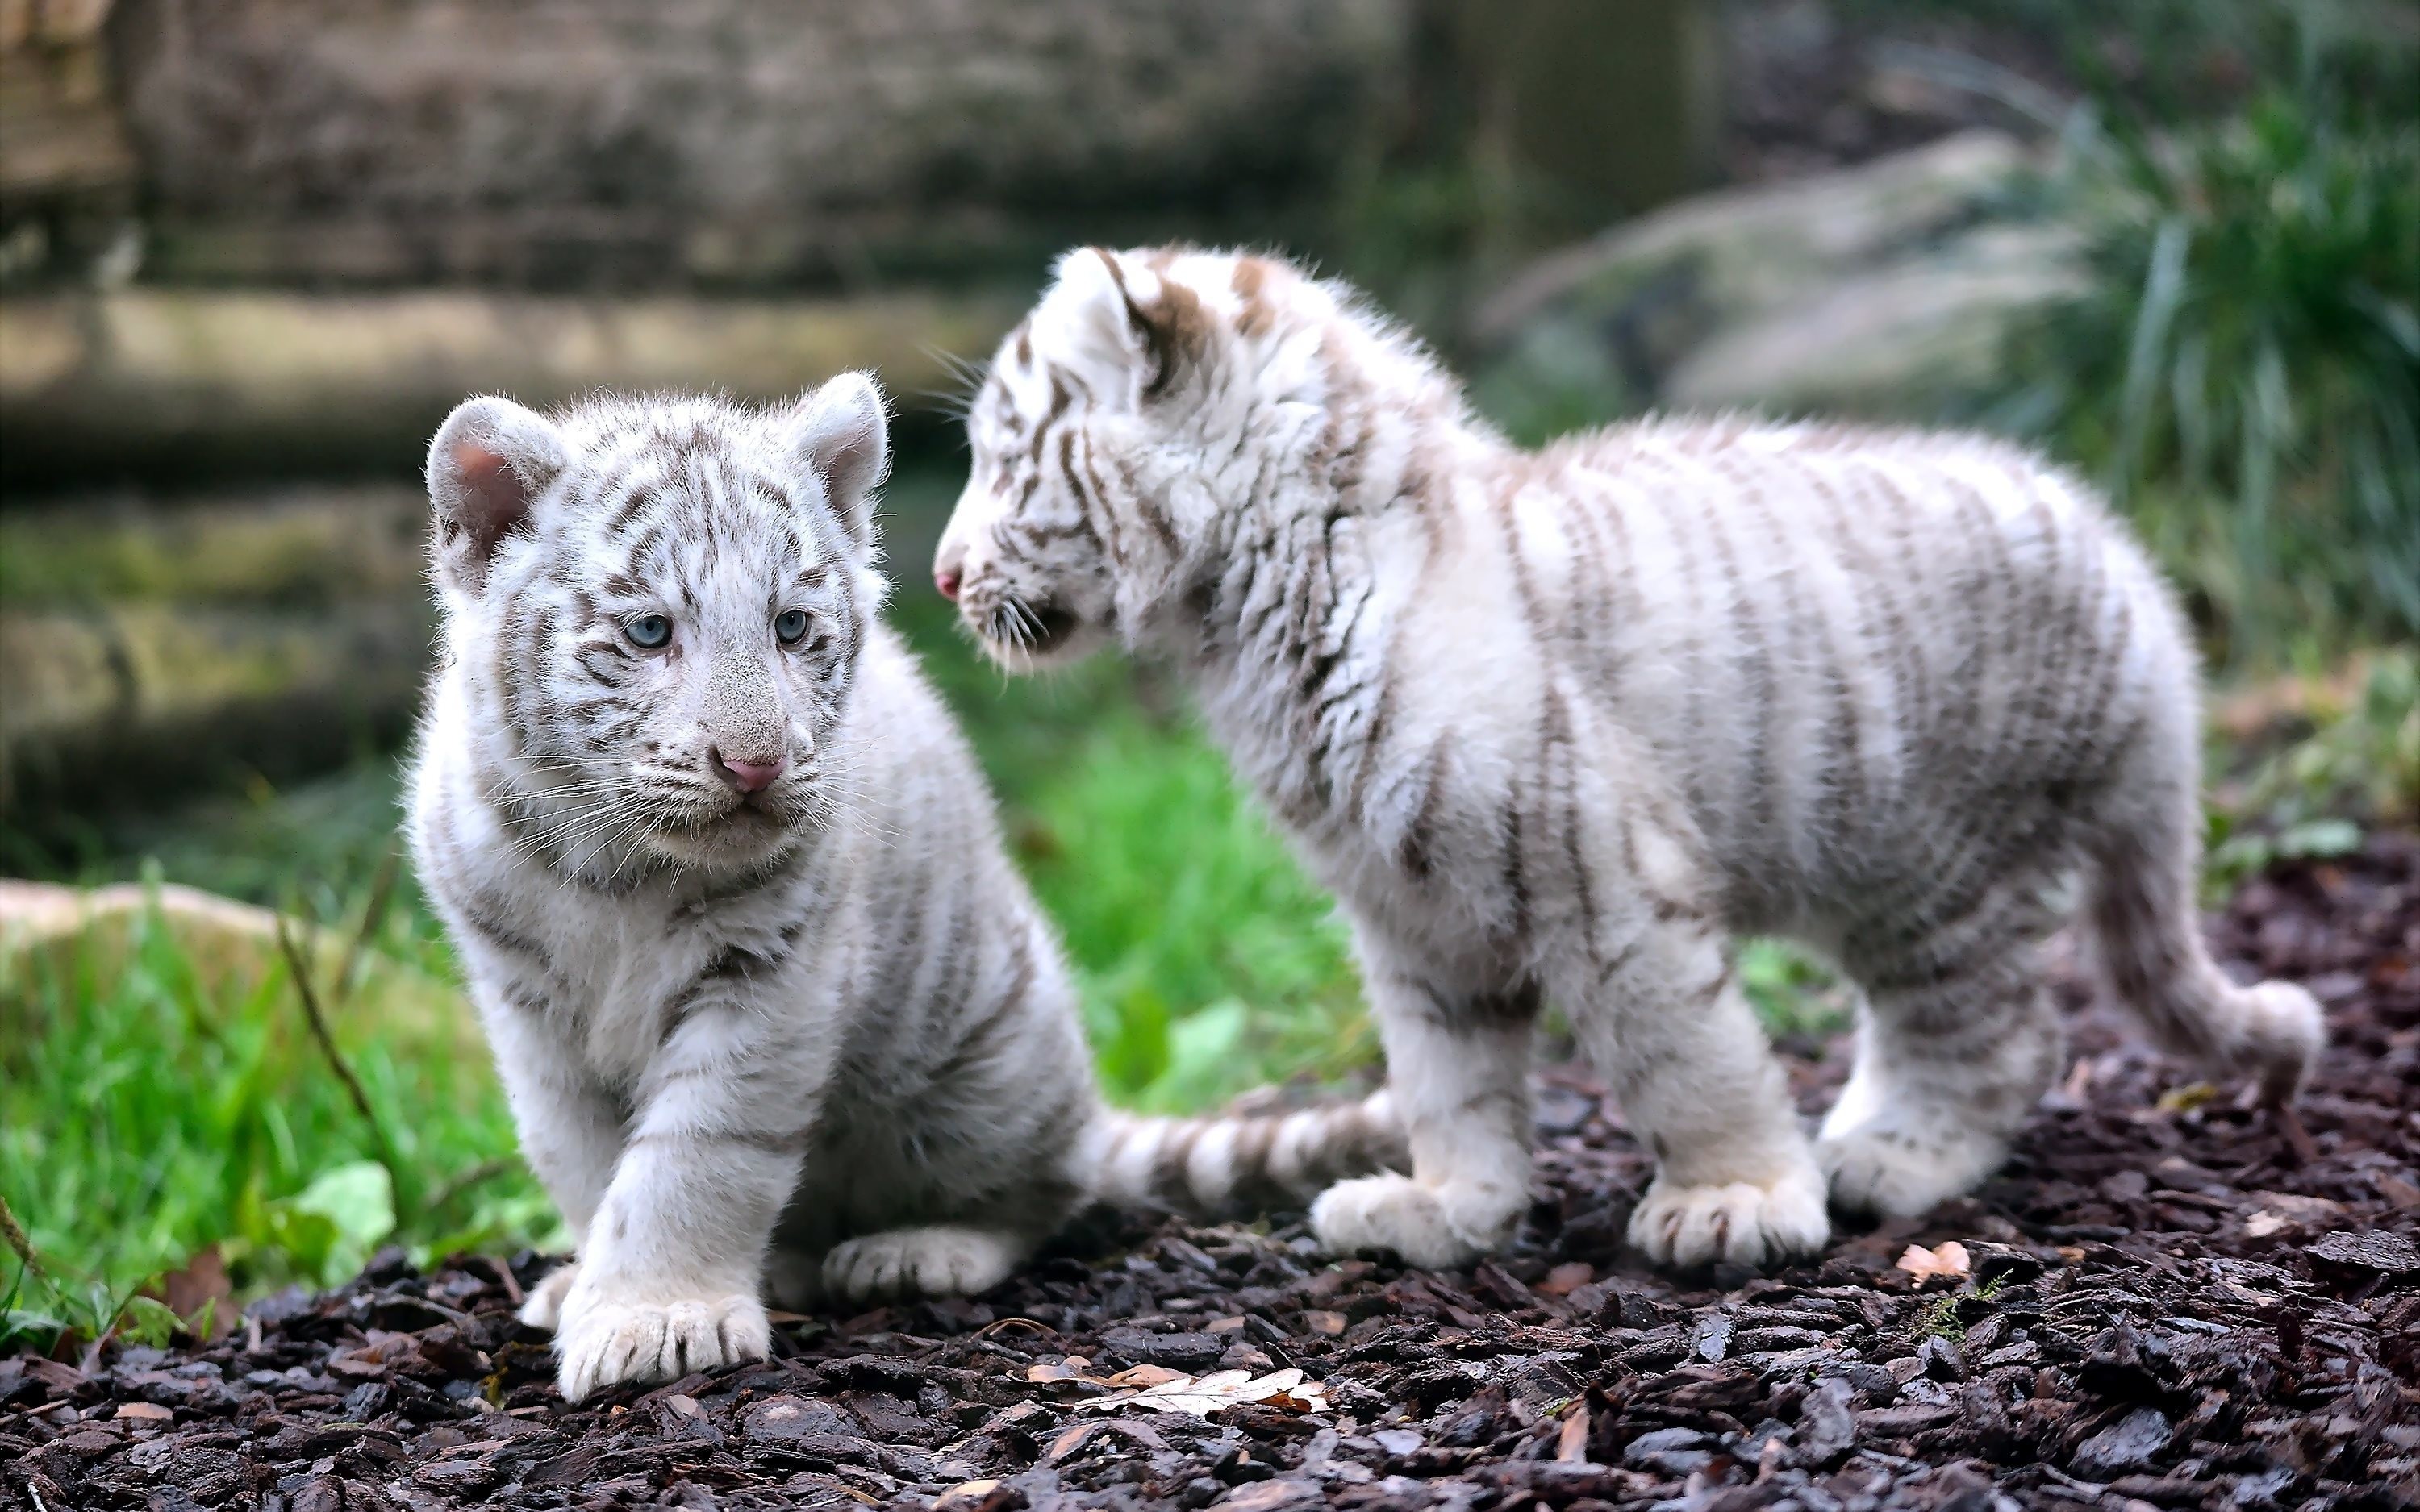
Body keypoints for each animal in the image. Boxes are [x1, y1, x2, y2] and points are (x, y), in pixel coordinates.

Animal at [406, 375, 1400, 1400]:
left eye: (792, 627)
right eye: (649, 633)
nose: (757, 765)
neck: (620, 866)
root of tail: (1088, 1116)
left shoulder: (770, 981)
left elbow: (696, 1157)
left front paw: (659, 1317)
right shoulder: (529, 1007)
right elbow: (580, 1154)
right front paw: (602, 1289)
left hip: (992, 1072)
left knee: (1042, 1198)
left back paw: (916, 1252)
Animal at [930, 247, 2325, 1272]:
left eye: (1003, 458)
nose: (941, 575)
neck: (1255, 617)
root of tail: (2136, 581)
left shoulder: (1599, 873)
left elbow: (1682, 1053)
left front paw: (1736, 1202)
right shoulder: (1409, 912)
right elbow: (1445, 1077)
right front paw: (1448, 1210)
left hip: (1938, 866)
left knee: (2005, 1030)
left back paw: (1891, 1157)